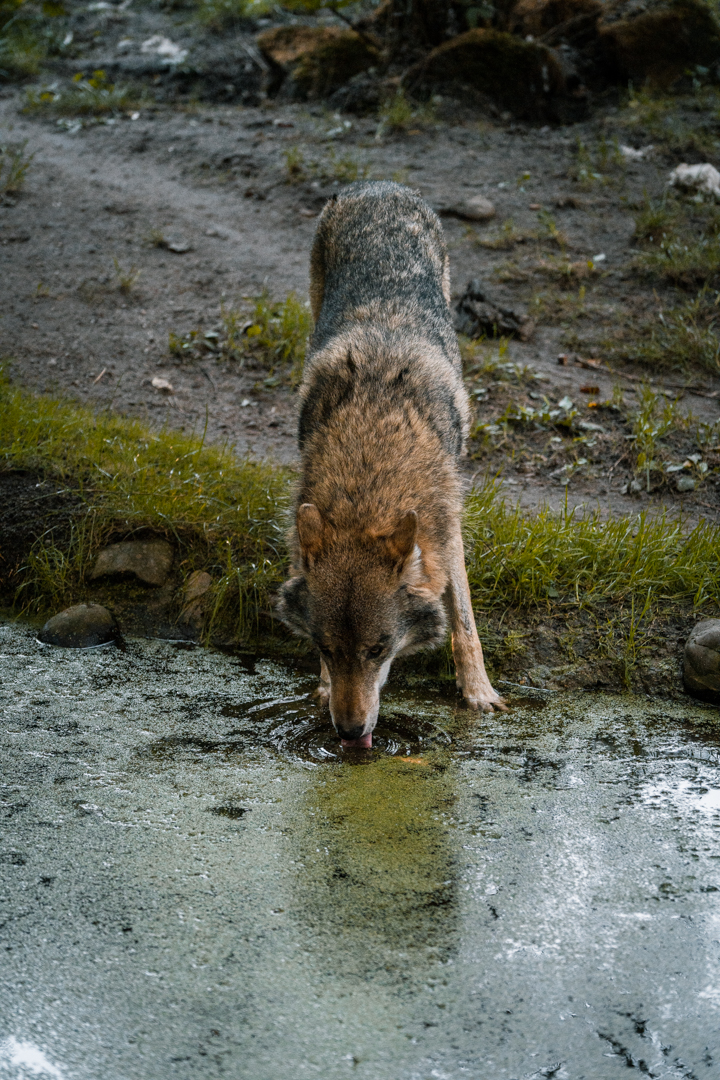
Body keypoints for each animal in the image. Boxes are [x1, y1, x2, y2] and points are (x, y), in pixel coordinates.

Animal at [277, 181, 505, 748]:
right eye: (325, 647)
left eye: (379, 650)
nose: (348, 732)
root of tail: (377, 184)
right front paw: (320, 687)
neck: (371, 467)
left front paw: (479, 694)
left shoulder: (447, 533)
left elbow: (464, 623)